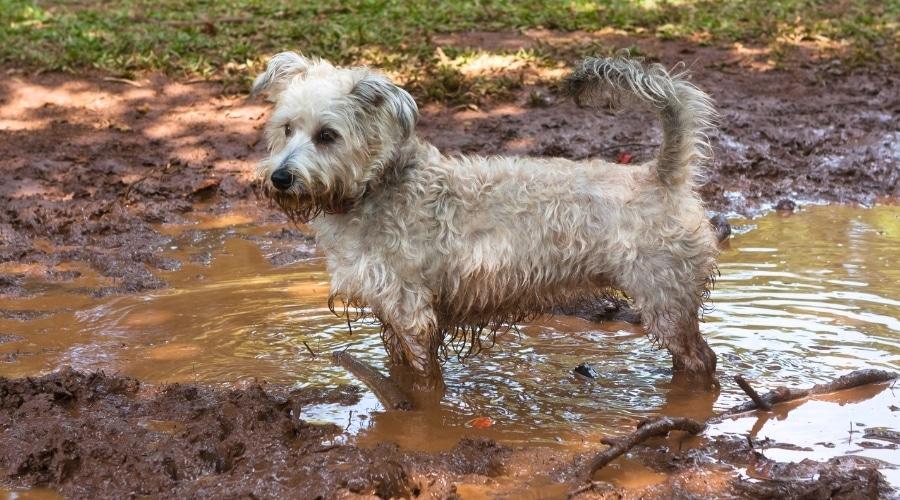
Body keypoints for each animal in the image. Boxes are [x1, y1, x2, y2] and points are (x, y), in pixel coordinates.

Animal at [250, 52, 720, 392]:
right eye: (287, 128)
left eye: (327, 135)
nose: (281, 178)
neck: (372, 186)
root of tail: (661, 177)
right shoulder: (391, 314)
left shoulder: (413, 314)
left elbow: (424, 379)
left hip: (665, 300)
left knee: (701, 359)